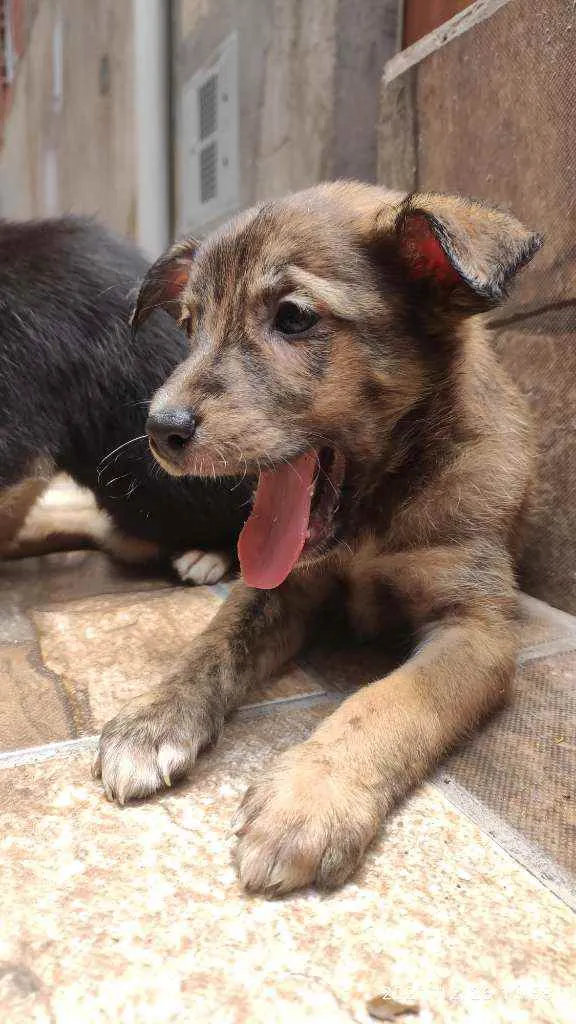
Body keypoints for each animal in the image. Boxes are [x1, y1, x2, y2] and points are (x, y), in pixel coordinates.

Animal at [94, 184, 537, 897]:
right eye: (190, 325)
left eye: (294, 318)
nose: (159, 429)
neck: (374, 517)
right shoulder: (283, 585)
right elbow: (211, 645)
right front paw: (152, 719)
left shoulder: (477, 629)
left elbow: (389, 701)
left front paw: (308, 799)